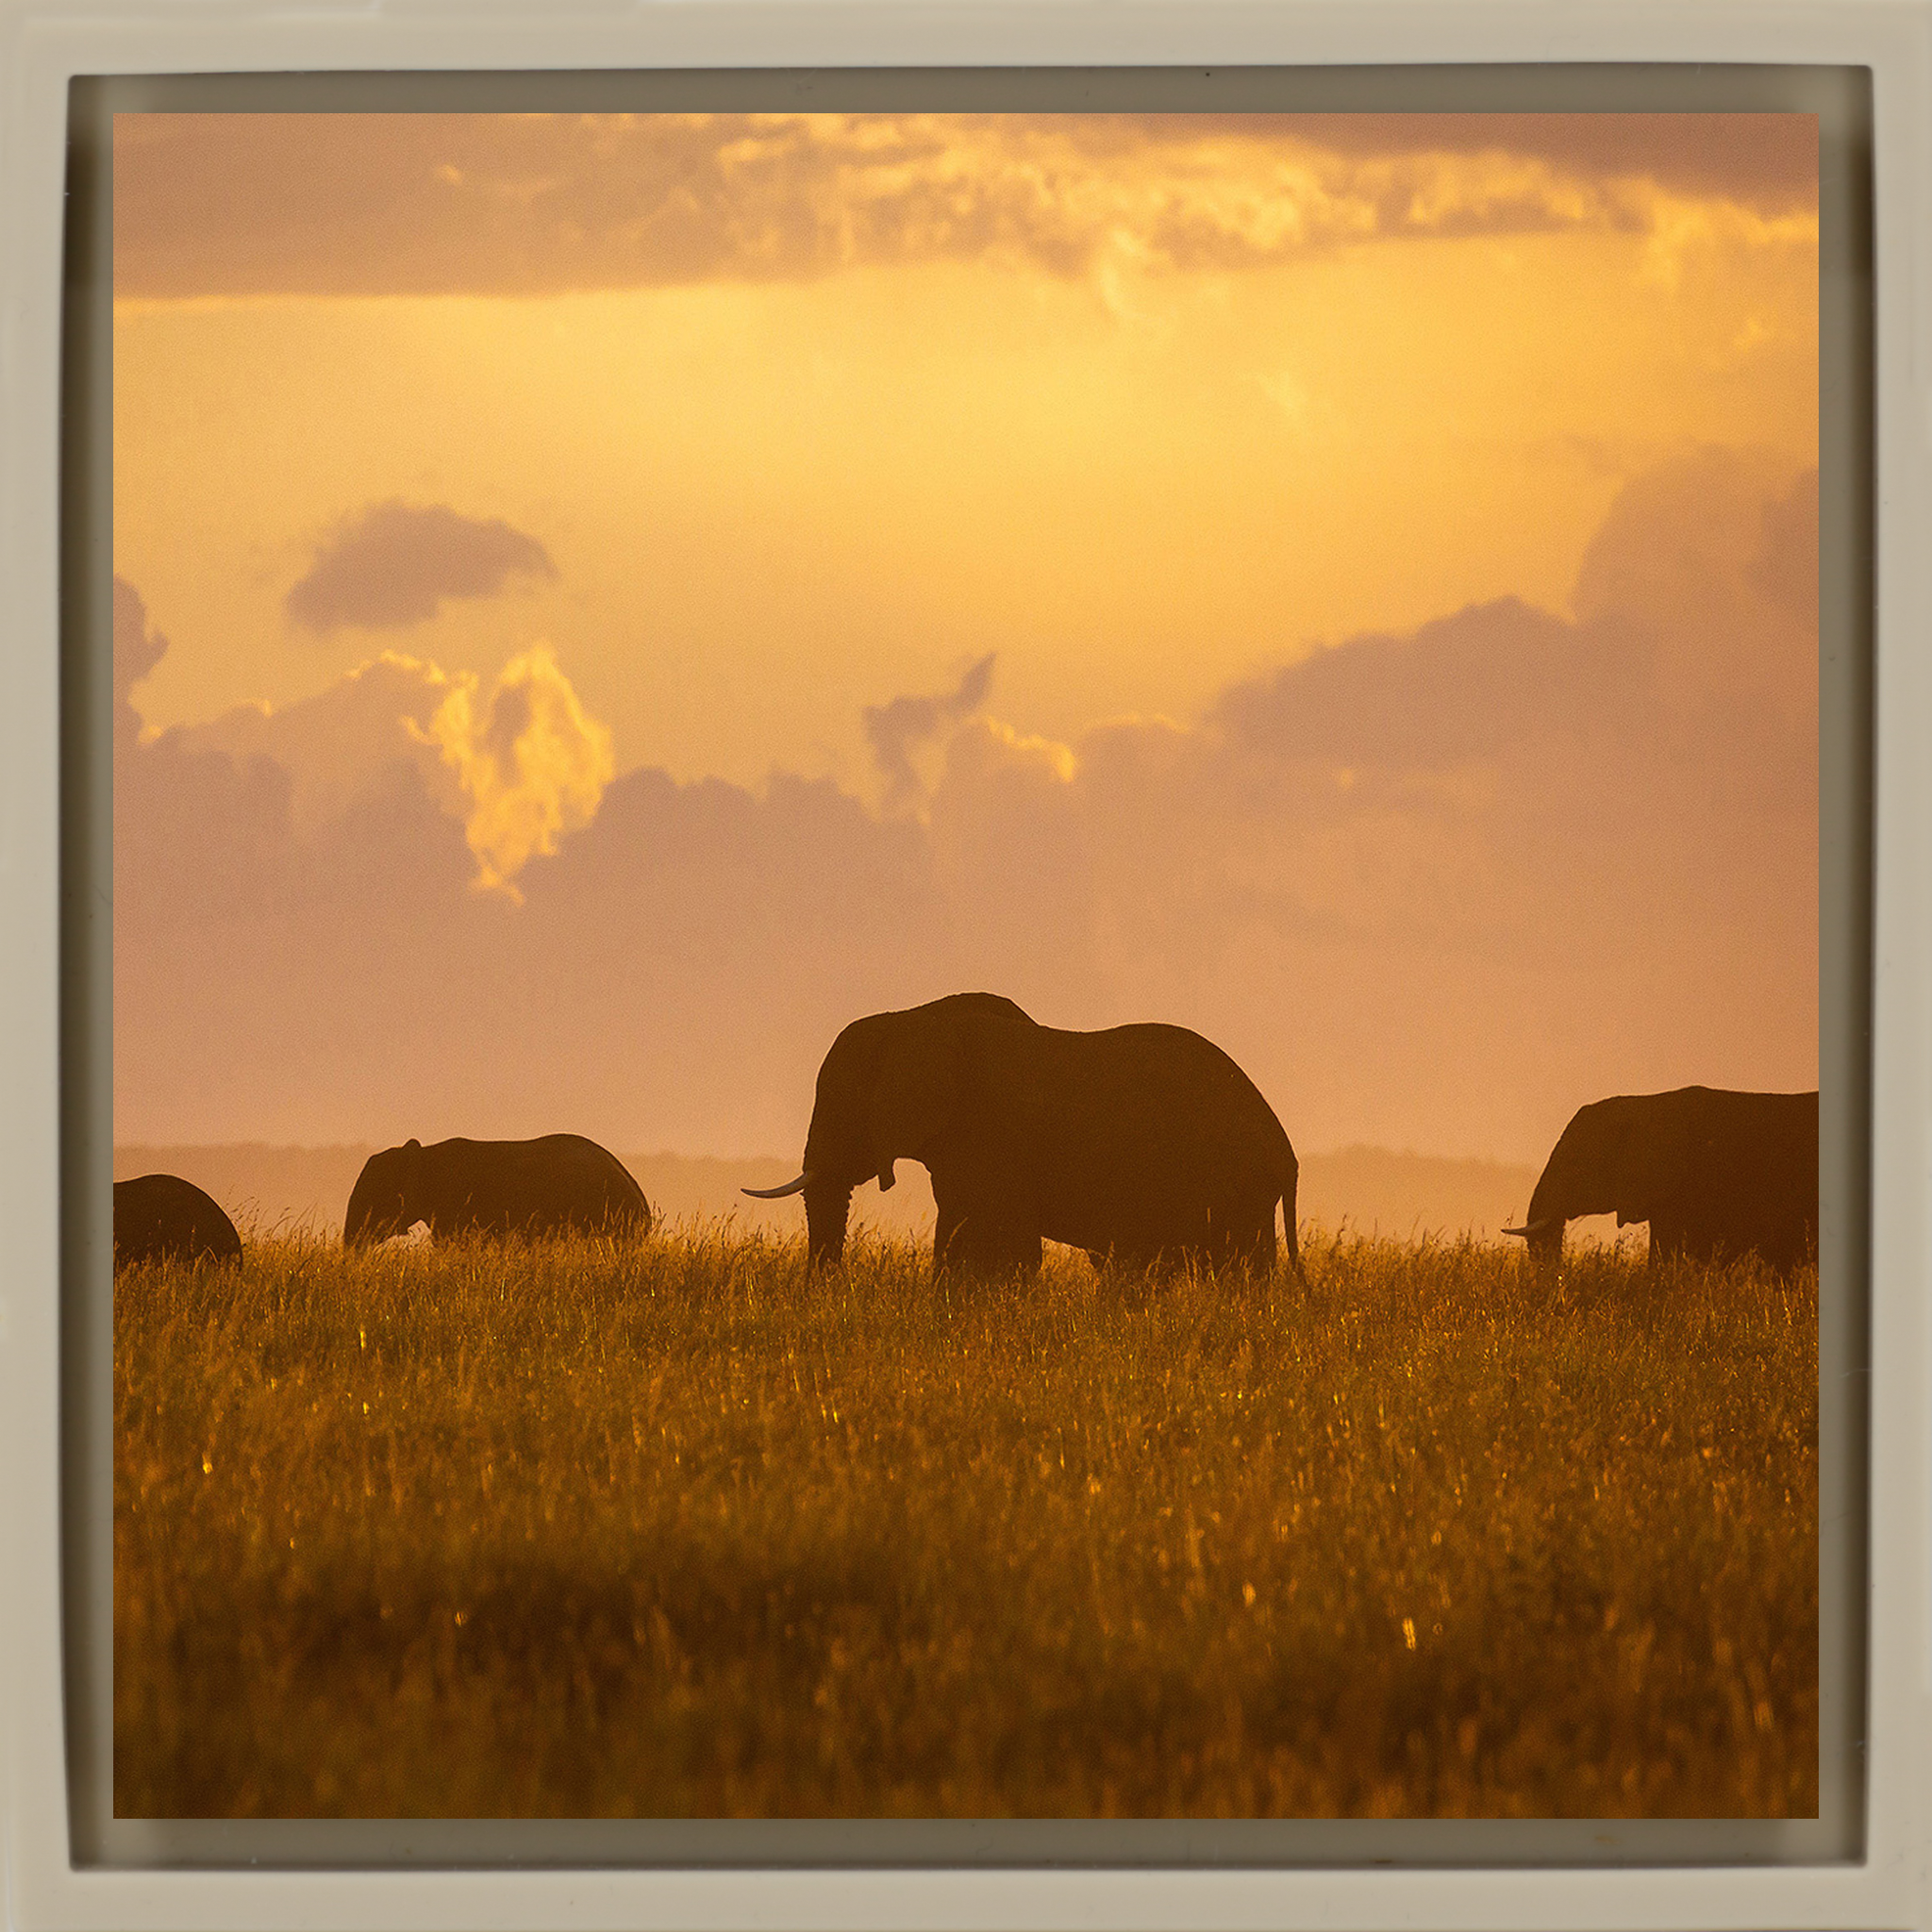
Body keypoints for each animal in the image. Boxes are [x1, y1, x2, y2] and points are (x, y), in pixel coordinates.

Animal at [745, 992, 1304, 1279]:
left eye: (842, 1105)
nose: (828, 1291)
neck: (910, 1019)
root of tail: (1287, 1153)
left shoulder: (988, 1137)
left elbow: (993, 1246)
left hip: (1236, 1187)